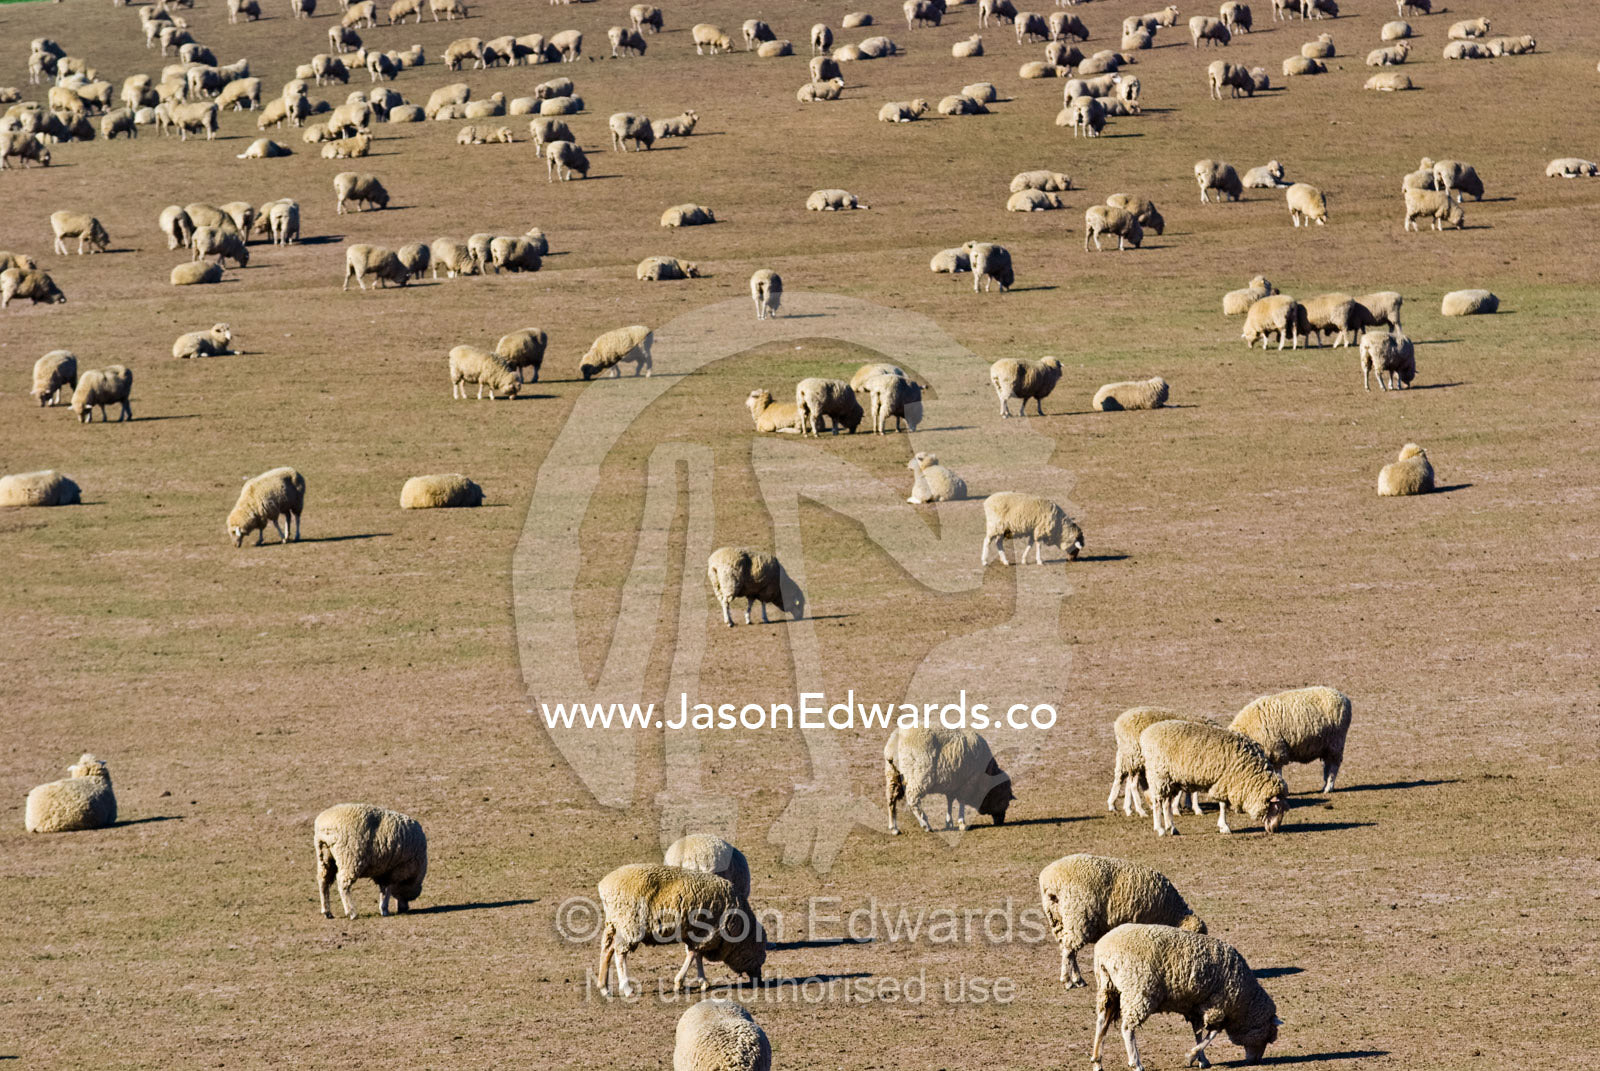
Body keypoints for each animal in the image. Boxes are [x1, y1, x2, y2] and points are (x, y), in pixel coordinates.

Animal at [597, 864, 765, 997]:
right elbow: (693, 954)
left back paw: (604, 987)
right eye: (761, 956)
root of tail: (604, 885)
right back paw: (626, 988)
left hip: (614, 922)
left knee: (607, 948)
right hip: (630, 923)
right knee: (620, 953)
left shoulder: (697, 933)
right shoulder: (709, 933)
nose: (760, 981)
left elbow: (696, 955)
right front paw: (680, 982)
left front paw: (702, 981)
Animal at [884, 727, 1013, 834]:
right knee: (913, 801)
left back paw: (894, 828)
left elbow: (950, 801)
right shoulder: (969, 782)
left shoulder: (953, 783)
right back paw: (926, 825)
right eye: (1003, 798)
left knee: (891, 800)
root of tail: (893, 743)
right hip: (918, 777)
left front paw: (949, 822)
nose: (1001, 822)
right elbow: (962, 802)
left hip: (892, 775)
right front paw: (962, 823)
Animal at [1041, 856, 1205, 991]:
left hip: (1059, 919)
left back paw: (1077, 979)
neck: (1173, 913)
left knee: (1068, 950)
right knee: (1069, 950)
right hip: (1078, 917)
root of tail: (1050, 879)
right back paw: (1068, 981)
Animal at [1091, 924, 1280, 1071]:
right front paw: (1192, 1055)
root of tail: (1103, 950)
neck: (1245, 1003)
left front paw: (1202, 1059)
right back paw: (1136, 1063)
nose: (1255, 1061)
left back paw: (1097, 1061)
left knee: (1101, 1022)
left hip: (1108, 988)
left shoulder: (1197, 1006)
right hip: (1139, 991)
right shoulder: (1217, 1005)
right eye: (1268, 1037)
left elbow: (1199, 1032)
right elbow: (1212, 1033)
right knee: (1127, 1028)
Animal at [1140, 720, 1287, 835]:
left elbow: (1222, 804)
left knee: (1166, 803)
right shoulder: (1224, 781)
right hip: (1158, 776)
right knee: (1157, 802)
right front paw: (1224, 826)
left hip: (1170, 780)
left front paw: (1222, 825)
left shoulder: (1224, 782)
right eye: (1277, 808)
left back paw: (1172, 828)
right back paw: (1160, 829)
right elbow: (1222, 805)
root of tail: (1146, 733)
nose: (1275, 830)